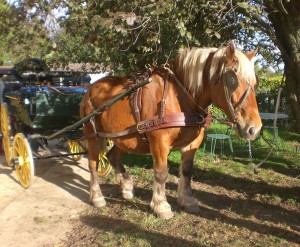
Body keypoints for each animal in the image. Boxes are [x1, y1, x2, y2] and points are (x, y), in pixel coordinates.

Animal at [81, 43, 262, 219]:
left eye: (255, 83)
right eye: (232, 80)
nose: (254, 128)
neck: (179, 96)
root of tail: (90, 88)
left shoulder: (193, 143)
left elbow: (187, 170)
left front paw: (187, 200)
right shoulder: (159, 142)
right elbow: (161, 172)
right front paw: (161, 206)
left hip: (123, 138)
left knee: (113, 157)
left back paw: (126, 188)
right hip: (93, 135)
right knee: (93, 163)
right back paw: (97, 196)